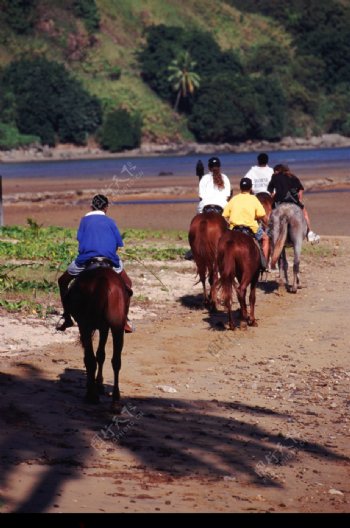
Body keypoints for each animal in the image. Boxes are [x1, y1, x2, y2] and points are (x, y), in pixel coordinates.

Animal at [65, 266, 129, 410]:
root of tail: (102, 279)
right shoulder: (104, 327)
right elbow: (101, 355)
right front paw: (99, 384)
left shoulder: (92, 327)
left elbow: (96, 356)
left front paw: (96, 385)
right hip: (117, 326)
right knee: (116, 361)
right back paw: (115, 401)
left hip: (85, 325)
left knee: (90, 359)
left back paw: (91, 394)